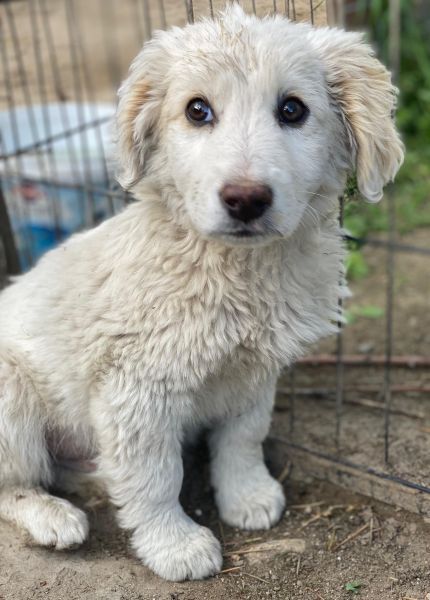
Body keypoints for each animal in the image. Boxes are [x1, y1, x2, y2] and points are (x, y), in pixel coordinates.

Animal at [0, 4, 403, 582]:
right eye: (197, 110)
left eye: (293, 109)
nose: (246, 199)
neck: (237, 272)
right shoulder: (136, 387)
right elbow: (155, 477)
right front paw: (174, 545)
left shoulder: (253, 373)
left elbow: (243, 439)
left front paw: (249, 496)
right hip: (11, 399)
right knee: (13, 483)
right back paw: (53, 516)